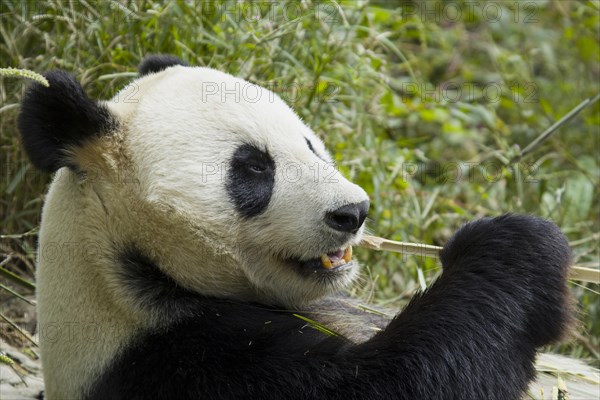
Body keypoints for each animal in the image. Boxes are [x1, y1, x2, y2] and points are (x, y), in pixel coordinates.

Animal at [17, 54, 572, 398]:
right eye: (253, 167)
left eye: (309, 144)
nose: (353, 212)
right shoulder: (174, 362)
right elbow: (399, 382)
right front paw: (514, 246)